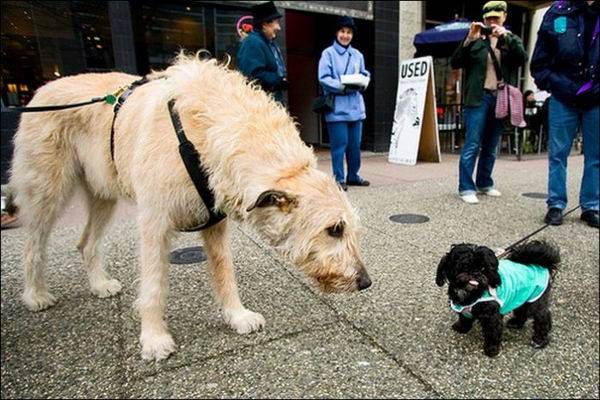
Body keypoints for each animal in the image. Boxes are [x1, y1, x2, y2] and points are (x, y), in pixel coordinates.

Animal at [10, 52, 370, 360]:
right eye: (334, 230)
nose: (366, 282)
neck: (204, 130)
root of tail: (41, 89)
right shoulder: (154, 222)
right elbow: (154, 284)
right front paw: (154, 338)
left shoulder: (216, 223)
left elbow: (225, 271)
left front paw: (237, 316)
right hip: (46, 190)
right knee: (32, 243)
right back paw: (35, 295)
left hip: (102, 194)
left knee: (86, 243)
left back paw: (99, 285)